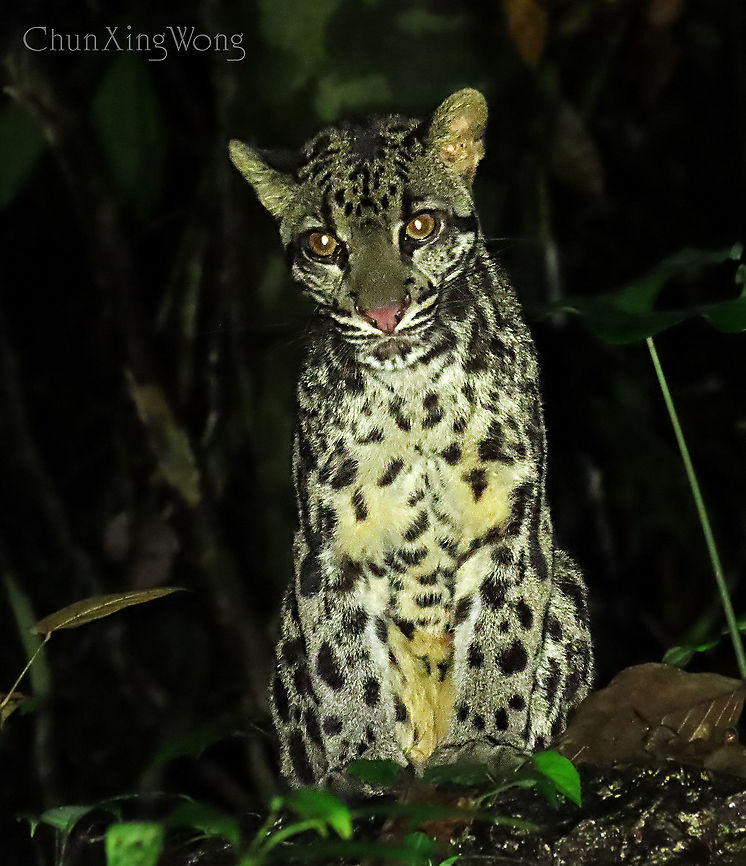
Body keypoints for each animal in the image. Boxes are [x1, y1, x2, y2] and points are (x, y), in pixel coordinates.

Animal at [229, 88, 593, 790]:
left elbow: (502, 643)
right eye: (322, 244)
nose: (382, 316)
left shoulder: (511, 522)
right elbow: (342, 667)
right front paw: (364, 763)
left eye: (420, 227)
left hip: (566, 579)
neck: (413, 401)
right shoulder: (328, 548)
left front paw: (479, 743)